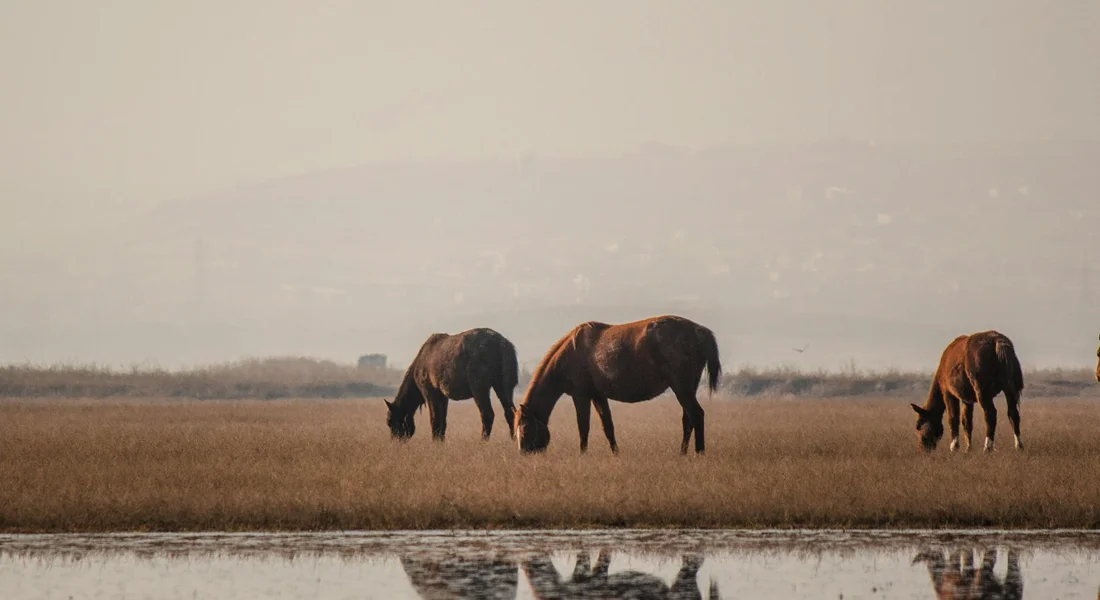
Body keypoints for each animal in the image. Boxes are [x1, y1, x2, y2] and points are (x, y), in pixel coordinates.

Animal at [385, 327, 519, 442]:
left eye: (390, 421)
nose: (395, 440)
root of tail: (503, 346)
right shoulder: (443, 396)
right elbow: (443, 421)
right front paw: (440, 440)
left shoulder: (429, 391)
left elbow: (434, 419)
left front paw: (435, 440)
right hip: (504, 386)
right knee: (510, 412)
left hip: (479, 387)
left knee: (487, 414)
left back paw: (483, 441)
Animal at [514, 315, 721, 455]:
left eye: (525, 429)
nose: (524, 454)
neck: (571, 352)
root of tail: (699, 331)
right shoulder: (598, 396)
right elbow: (608, 427)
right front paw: (615, 453)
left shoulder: (581, 396)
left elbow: (583, 427)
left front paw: (583, 454)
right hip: (687, 389)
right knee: (688, 420)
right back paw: (683, 453)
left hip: (681, 388)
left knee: (696, 415)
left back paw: (699, 453)